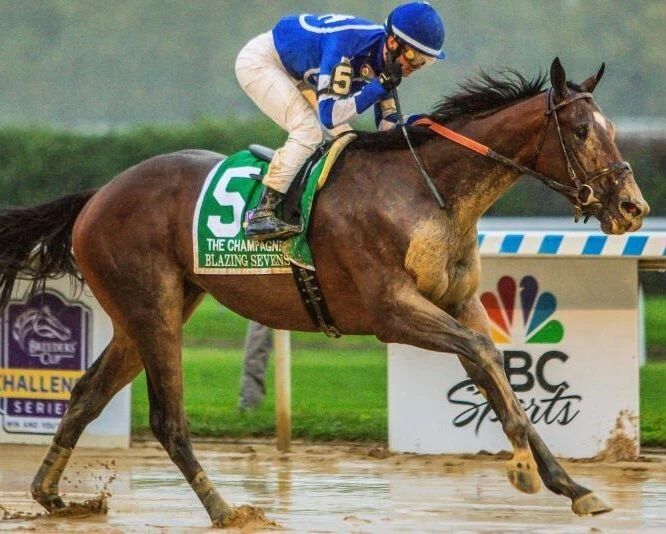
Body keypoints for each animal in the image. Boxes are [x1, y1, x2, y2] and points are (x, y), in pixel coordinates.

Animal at [0, 58, 648, 525]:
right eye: (582, 130)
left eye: (616, 130)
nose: (632, 207)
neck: (428, 192)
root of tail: (99, 193)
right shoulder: (392, 311)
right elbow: (486, 356)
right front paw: (522, 469)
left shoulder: (459, 303)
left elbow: (497, 375)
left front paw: (572, 485)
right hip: (151, 307)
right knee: (167, 419)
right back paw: (226, 509)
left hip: (152, 312)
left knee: (86, 393)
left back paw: (53, 495)